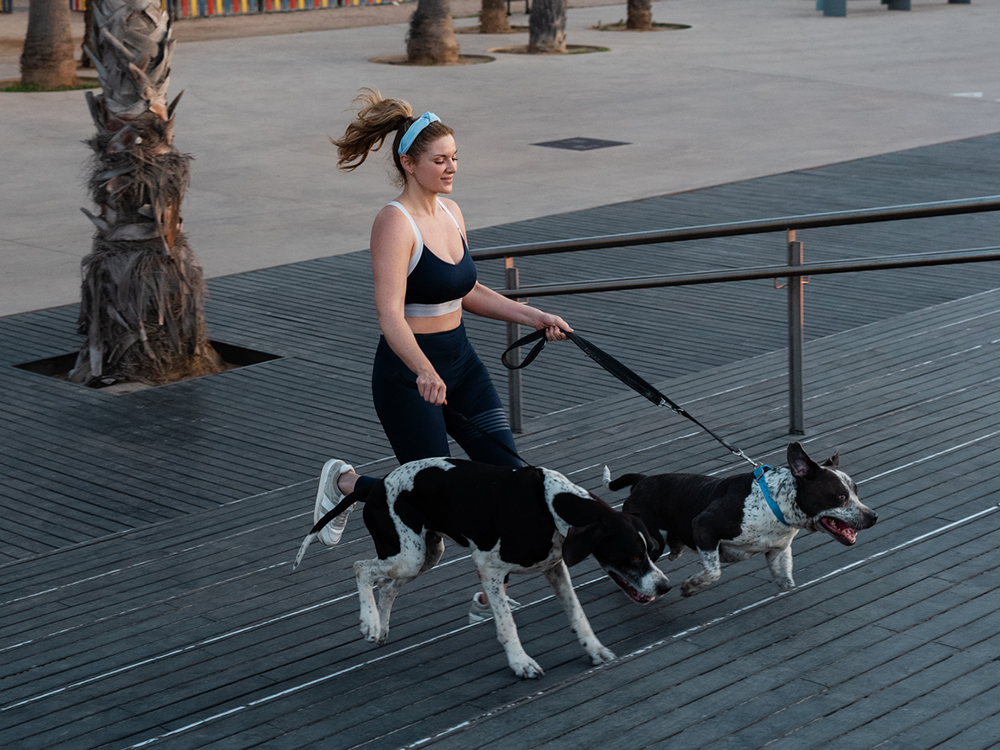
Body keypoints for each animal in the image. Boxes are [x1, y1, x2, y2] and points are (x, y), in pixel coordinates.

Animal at [296, 458, 672, 680]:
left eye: (651, 551)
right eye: (634, 557)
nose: (664, 586)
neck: (550, 506)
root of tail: (375, 485)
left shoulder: (555, 567)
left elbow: (577, 614)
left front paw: (593, 649)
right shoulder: (489, 567)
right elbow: (507, 624)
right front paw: (520, 662)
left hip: (424, 554)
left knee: (386, 587)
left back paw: (381, 627)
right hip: (408, 556)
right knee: (361, 567)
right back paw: (369, 622)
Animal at [600, 444, 876, 596]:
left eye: (856, 491)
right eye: (841, 496)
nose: (873, 517)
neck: (774, 506)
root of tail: (641, 481)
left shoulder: (778, 552)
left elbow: (786, 581)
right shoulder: (704, 525)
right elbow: (713, 571)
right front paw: (692, 586)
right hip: (651, 541)